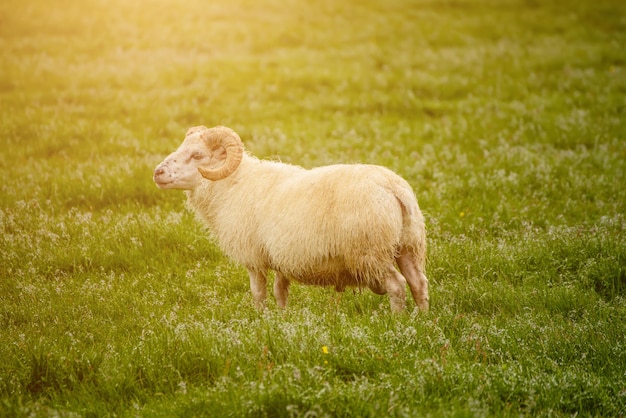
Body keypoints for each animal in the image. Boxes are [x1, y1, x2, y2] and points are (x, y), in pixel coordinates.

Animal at [153, 125, 426, 312]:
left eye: (198, 155)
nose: (158, 172)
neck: (231, 185)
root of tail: (393, 187)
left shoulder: (253, 257)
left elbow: (258, 293)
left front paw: (260, 319)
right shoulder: (279, 258)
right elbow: (280, 291)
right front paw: (282, 318)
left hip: (370, 252)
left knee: (397, 285)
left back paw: (396, 321)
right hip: (408, 246)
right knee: (418, 283)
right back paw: (421, 321)